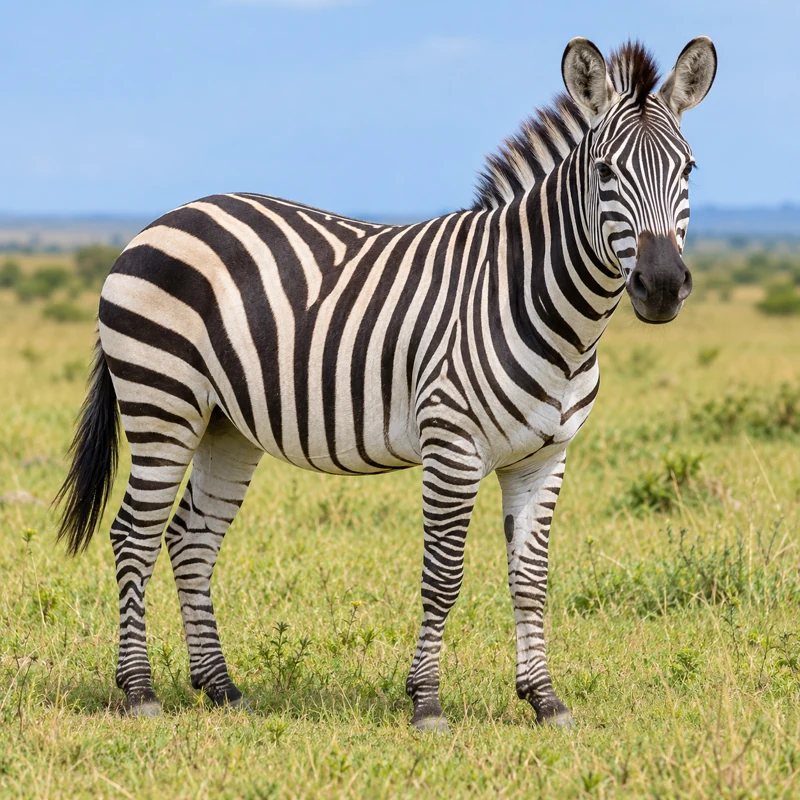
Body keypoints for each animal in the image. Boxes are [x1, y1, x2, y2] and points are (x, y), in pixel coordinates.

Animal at [56, 37, 717, 731]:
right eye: (605, 173)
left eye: (690, 170)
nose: (662, 286)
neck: (540, 307)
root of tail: (163, 220)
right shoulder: (452, 445)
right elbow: (444, 576)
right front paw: (425, 701)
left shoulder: (545, 457)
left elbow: (531, 579)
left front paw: (544, 698)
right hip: (162, 401)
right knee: (134, 535)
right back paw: (140, 692)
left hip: (224, 425)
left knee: (191, 538)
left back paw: (221, 687)